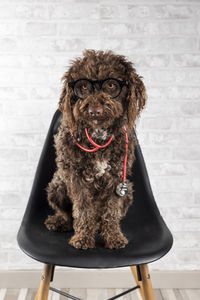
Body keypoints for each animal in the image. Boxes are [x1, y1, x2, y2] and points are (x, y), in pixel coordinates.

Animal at [44, 50, 146, 250]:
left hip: (128, 191)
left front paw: (114, 237)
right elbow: (83, 210)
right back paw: (60, 222)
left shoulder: (116, 179)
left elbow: (111, 211)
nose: (94, 111)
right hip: (57, 185)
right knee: (69, 215)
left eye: (111, 84)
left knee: (104, 217)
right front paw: (83, 238)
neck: (98, 134)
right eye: (83, 86)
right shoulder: (76, 178)